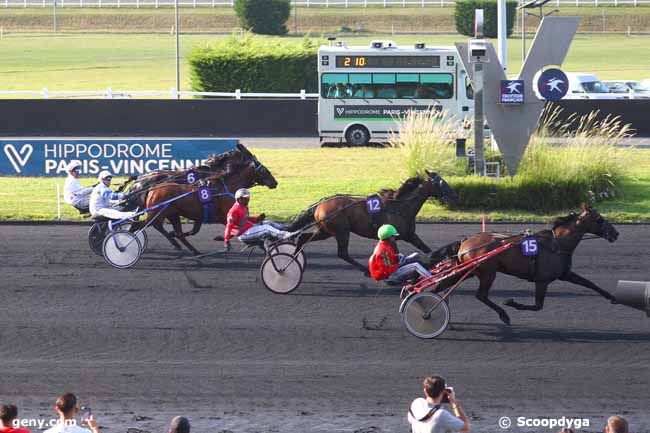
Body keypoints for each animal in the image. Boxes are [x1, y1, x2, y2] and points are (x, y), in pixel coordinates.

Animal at [133, 156, 278, 253]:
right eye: (265, 170)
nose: (275, 183)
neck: (224, 187)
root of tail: (152, 189)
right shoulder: (224, 216)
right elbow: (233, 230)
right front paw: (220, 238)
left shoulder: (200, 216)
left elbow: (193, 230)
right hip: (158, 214)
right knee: (142, 225)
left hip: (172, 214)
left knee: (166, 229)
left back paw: (188, 248)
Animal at [286, 170, 458, 274]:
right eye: (441, 182)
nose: (455, 196)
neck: (400, 206)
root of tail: (320, 204)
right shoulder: (396, 236)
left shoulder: (410, 235)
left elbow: (427, 249)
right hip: (341, 231)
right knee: (342, 253)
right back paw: (366, 270)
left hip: (326, 231)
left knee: (303, 238)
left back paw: (294, 261)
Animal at [456, 203, 616, 324]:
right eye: (599, 219)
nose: (616, 233)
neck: (557, 244)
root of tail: (465, 243)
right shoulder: (542, 280)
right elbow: (538, 306)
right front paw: (511, 302)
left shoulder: (565, 274)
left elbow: (589, 283)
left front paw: (612, 297)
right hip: (488, 273)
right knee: (481, 295)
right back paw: (504, 315)